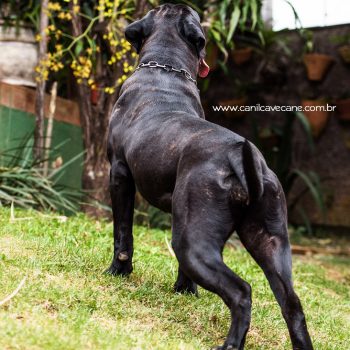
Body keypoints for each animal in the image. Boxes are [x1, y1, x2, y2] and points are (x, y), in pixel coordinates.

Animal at [105, 3, 314, 350]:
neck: (166, 69)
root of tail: (245, 160)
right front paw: (184, 291)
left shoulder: (119, 174)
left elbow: (123, 233)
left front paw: (118, 271)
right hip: (269, 243)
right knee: (292, 304)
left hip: (193, 243)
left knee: (242, 292)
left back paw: (230, 344)